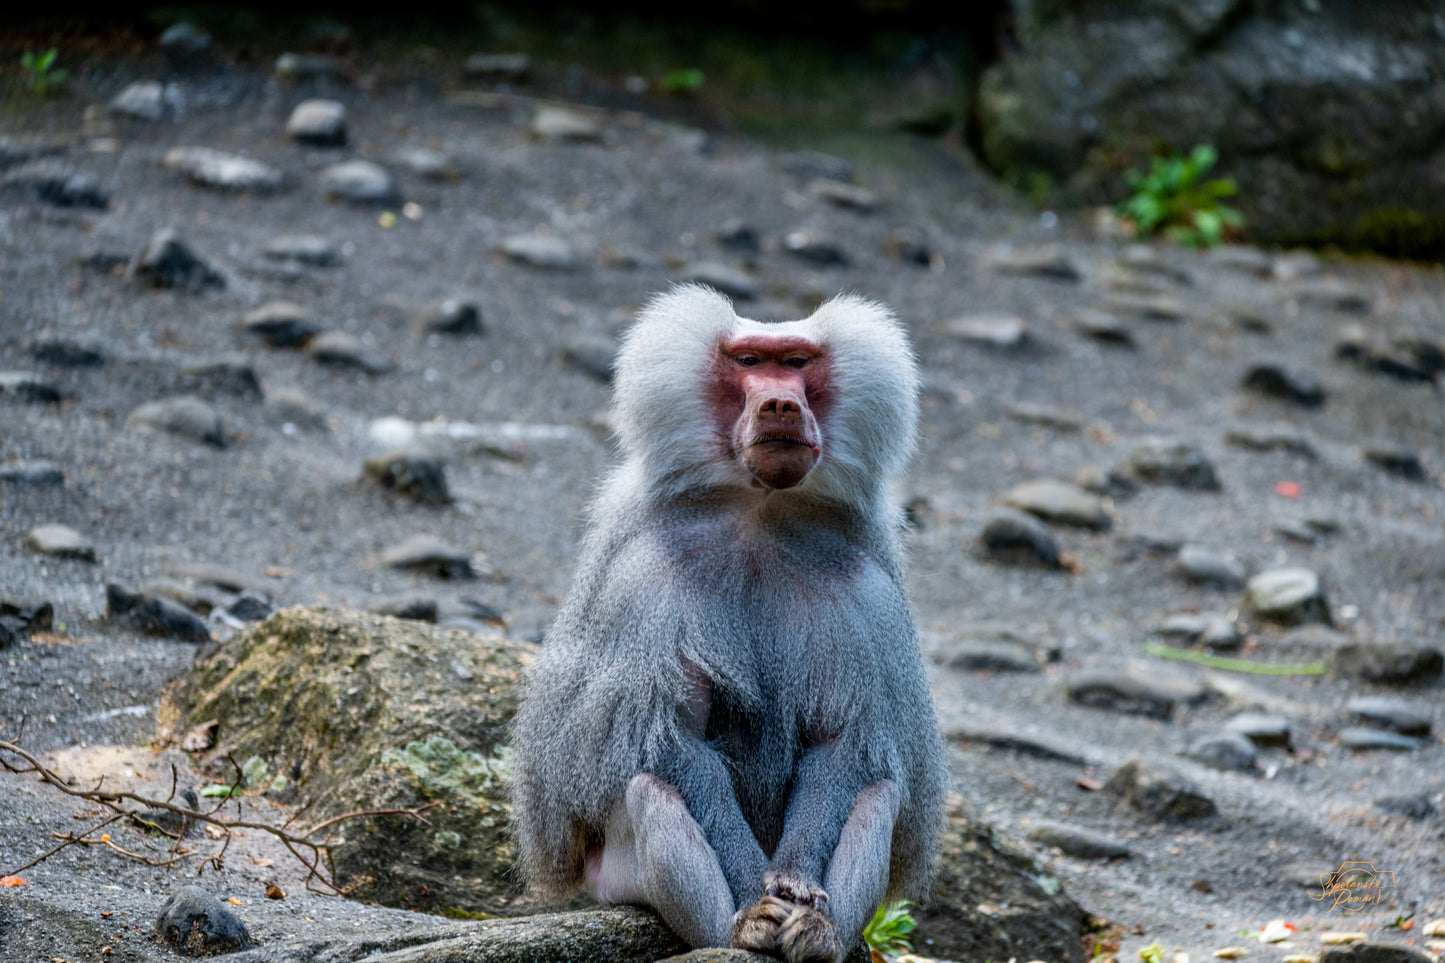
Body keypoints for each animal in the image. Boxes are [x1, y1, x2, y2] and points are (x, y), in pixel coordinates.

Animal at [509, 284, 945, 963]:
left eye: (795, 361)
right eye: (747, 361)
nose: (779, 403)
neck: (759, 507)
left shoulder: (862, 591)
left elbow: (841, 743)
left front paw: (797, 890)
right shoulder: (646, 581)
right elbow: (671, 739)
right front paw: (755, 904)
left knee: (877, 793)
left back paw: (821, 935)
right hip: (617, 876)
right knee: (651, 791)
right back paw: (743, 928)